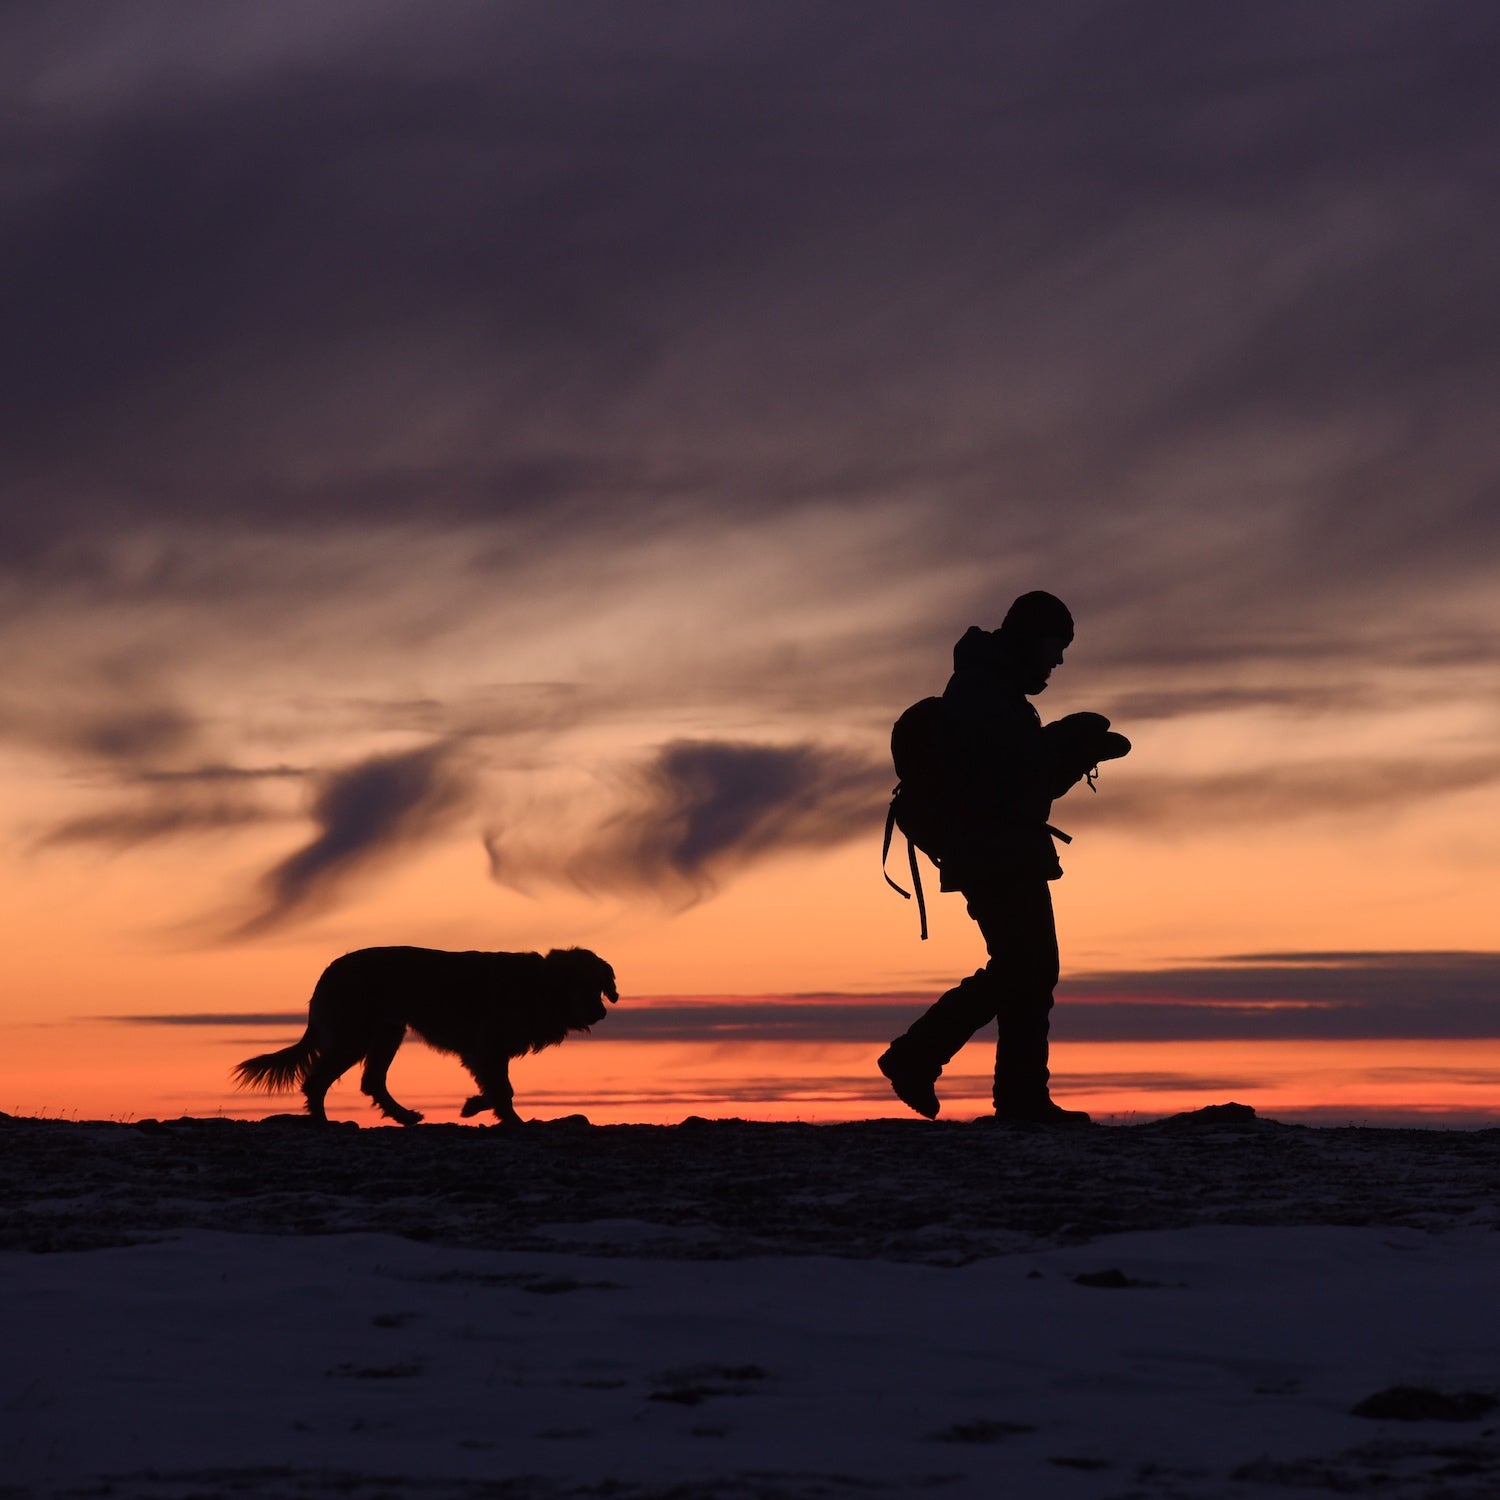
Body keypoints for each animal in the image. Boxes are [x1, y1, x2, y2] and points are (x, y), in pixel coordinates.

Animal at [232, 948, 615, 1128]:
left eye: (600, 986)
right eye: (583, 985)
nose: (601, 1012)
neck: (541, 986)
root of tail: (329, 971)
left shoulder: (488, 1052)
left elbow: (498, 1088)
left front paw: (476, 1105)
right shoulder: (486, 1046)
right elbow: (503, 1090)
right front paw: (509, 1119)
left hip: (388, 1032)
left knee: (372, 1081)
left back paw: (403, 1116)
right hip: (355, 1035)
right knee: (317, 1081)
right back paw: (325, 1122)